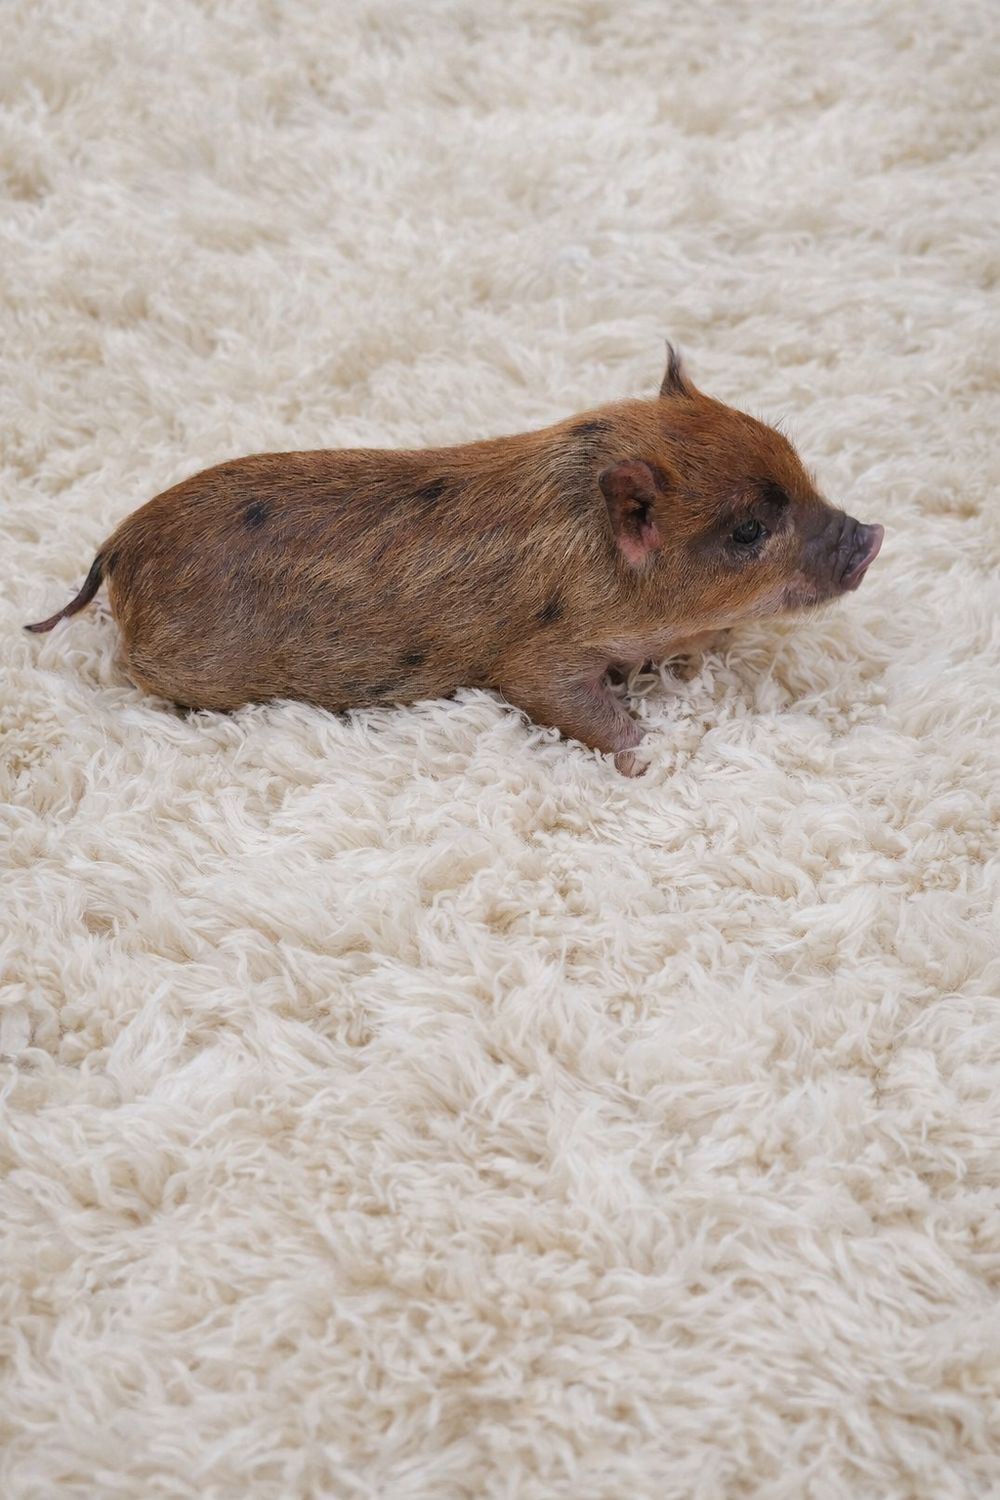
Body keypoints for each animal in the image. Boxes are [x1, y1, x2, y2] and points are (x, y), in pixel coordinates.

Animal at [26, 348, 884, 774]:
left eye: (796, 463)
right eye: (748, 530)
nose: (872, 535)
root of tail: (117, 546)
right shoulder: (537, 661)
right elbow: (577, 706)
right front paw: (651, 758)